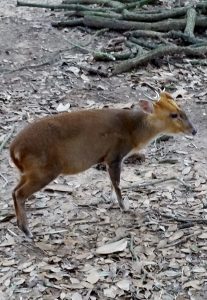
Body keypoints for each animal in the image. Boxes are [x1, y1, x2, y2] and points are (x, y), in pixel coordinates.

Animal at [9, 91, 196, 237]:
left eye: (182, 110)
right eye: (174, 114)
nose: (194, 130)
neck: (134, 131)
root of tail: (14, 149)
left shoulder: (109, 159)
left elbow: (112, 183)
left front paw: (111, 200)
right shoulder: (115, 155)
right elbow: (117, 183)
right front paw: (124, 207)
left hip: (27, 172)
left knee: (13, 191)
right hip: (44, 170)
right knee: (19, 193)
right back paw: (27, 231)